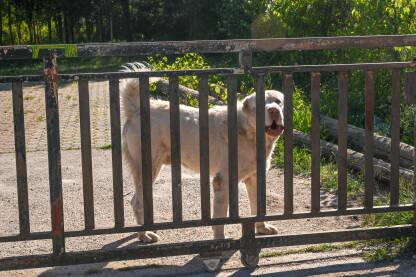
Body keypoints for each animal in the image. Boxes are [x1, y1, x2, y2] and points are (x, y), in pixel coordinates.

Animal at [120, 62, 282, 242]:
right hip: (149, 168)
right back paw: (145, 235)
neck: (247, 130)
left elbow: (258, 208)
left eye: (278, 101)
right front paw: (220, 239)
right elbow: (220, 217)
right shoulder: (222, 181)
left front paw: (262, 228)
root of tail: (136, 110)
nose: (274, 111)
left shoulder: (254, 178)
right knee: (136, 202)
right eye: (259, 105)